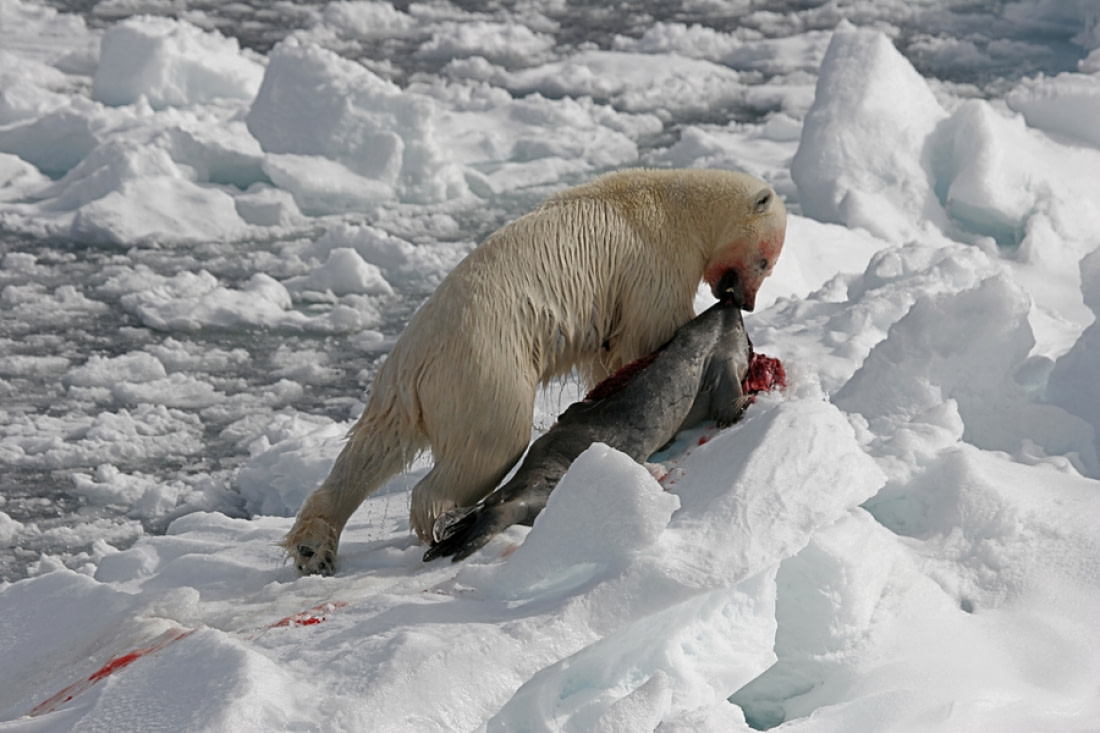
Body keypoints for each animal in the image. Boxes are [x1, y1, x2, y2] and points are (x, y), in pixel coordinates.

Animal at [283, 165, 783, 572]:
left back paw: (314, 548)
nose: (745, 302)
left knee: (372, 448)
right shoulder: (653, 260)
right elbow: (650, 330)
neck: (677, 203)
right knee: (493, 442)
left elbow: (605, 355)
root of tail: (415, 362)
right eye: (764, 260)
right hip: (484, 368)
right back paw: (441, 522)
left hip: (402, 387)